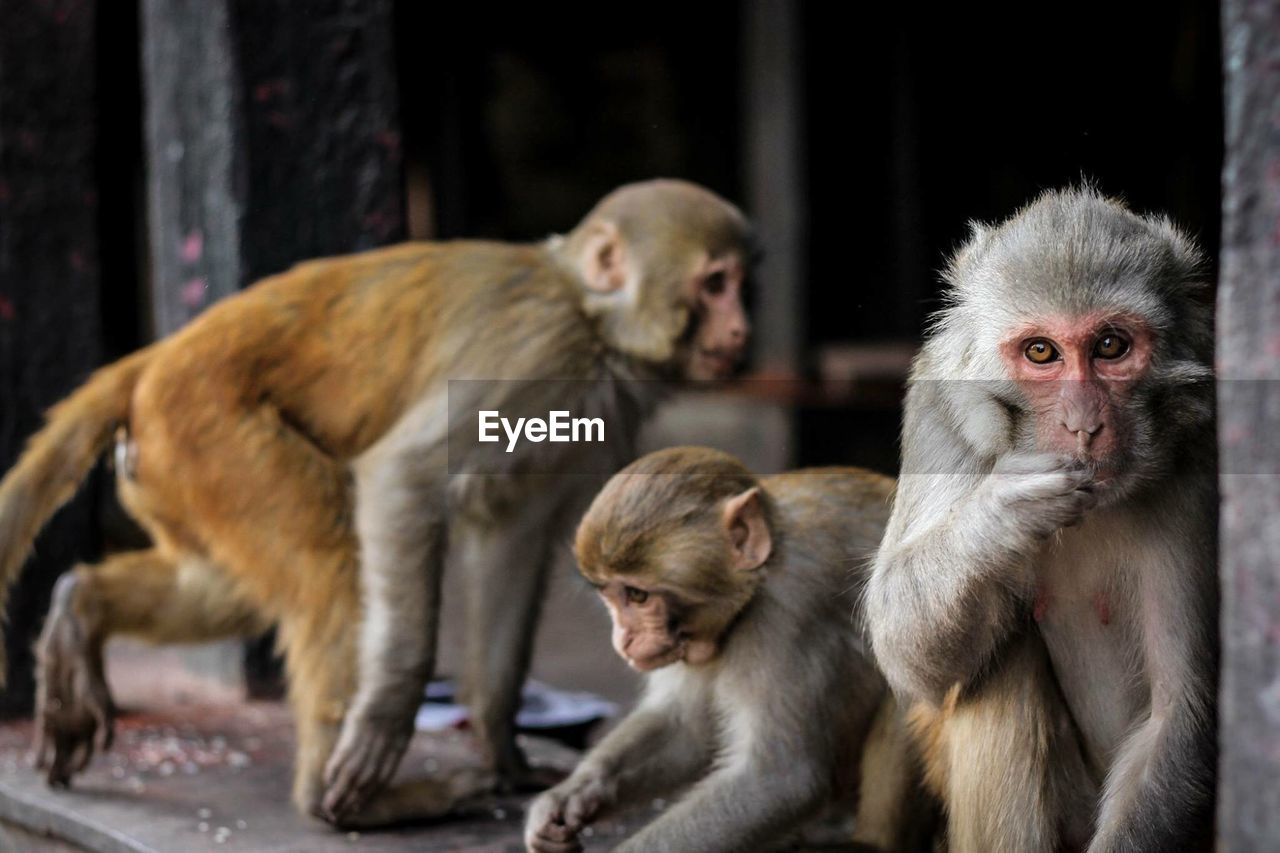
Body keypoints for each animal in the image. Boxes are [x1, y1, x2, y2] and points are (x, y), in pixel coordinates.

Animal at [0, 178, 752, 824]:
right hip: (209, 428)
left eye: (743, 283)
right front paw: (389, 714)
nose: (742, 329)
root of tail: (153, 361)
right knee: (331, 552)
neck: (591, 318)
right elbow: (405, 475)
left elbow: (512, 537)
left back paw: (80, 606)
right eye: (715, 284)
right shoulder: (537, 352)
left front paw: (502, 746)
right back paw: (345, 799)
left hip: (171, 464)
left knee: (233, 584)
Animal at [524, 445, 926, 850]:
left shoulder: (789, 617)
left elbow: (779, 779)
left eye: (637, 595)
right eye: (609, 595)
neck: (759, 579)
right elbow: (686, 727)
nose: (622, 639)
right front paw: (569, 797)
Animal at [865, 188, 1213, 850]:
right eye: (1041, 352)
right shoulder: (940, 407)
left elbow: (1180, 713)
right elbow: (903, 646)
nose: (1083, 424)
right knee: (1002, 663)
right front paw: (1003, 514)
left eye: (1110, 346)